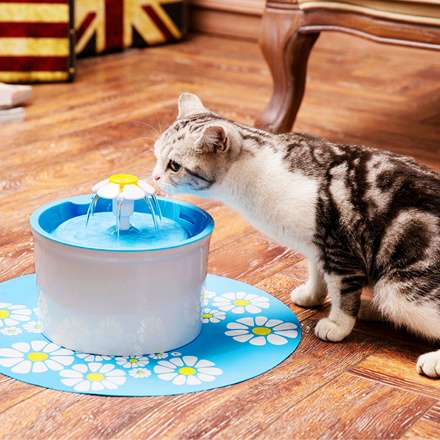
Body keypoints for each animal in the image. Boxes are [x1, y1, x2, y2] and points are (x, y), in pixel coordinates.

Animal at [152, 93, 440, 378]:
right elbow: (317, 274)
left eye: (174, 166)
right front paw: (312, 295)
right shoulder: (316, 246)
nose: (154, 177)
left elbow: (342, 293)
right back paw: (371, 308)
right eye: (156, 155)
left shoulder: (339, 249)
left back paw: (431, 358)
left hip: (401, 290)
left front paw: (337, 324)